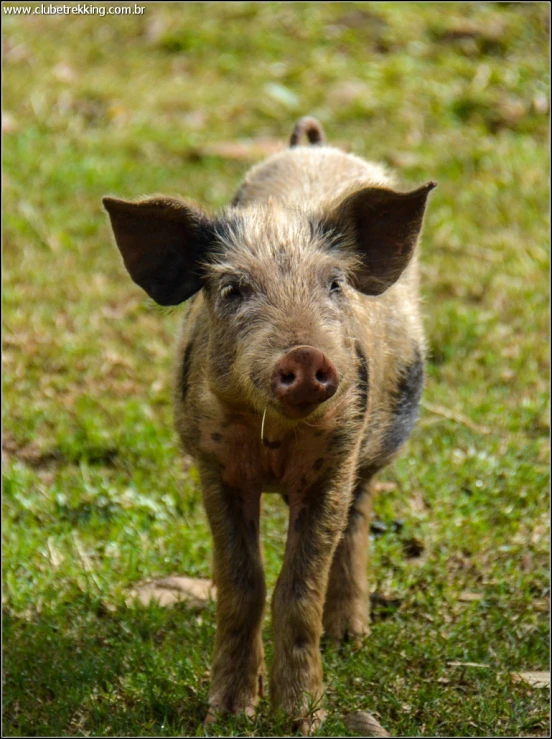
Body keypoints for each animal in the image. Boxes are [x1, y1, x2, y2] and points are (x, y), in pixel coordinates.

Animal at [103, 117, 436, 736]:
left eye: (333, 284)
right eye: (233, 289)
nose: (305, 354)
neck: (277, 442)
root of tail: (311, 144)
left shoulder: (335, 460)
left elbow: (298, 589)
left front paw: (304, 719)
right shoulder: (214, 465)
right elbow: (243, 585)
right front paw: (227, 714)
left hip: (378, 439)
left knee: (360, 514)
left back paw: (350, 636)